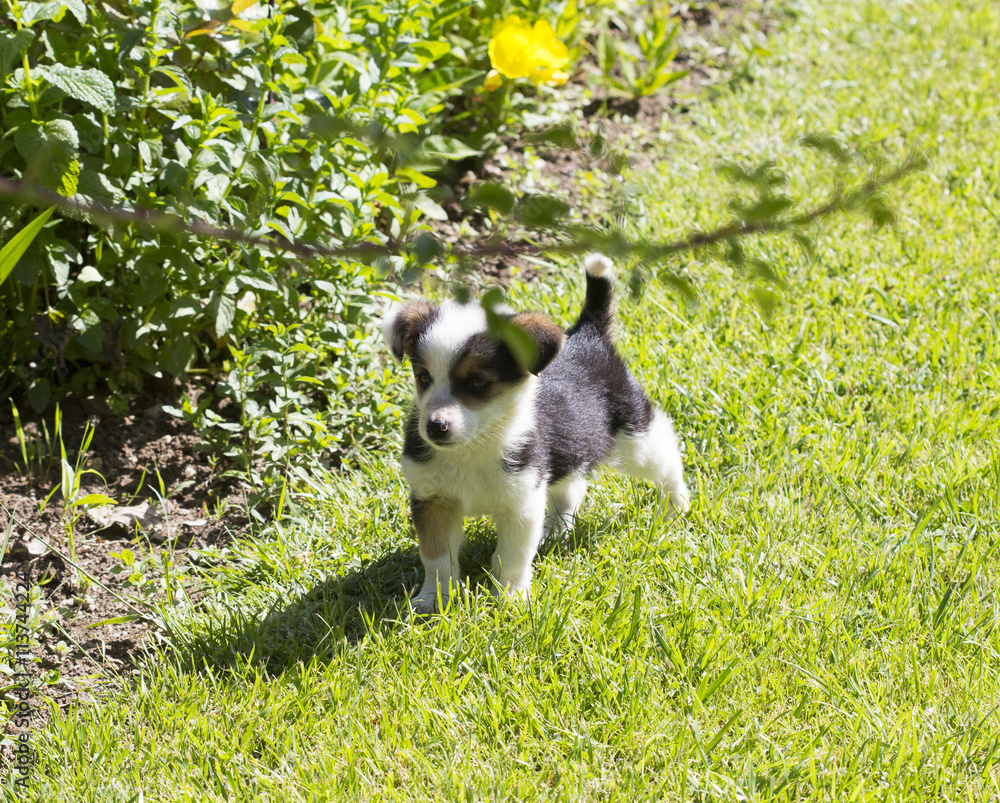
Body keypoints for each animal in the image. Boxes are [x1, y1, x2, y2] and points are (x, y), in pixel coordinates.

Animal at [382, 258, 688, 616]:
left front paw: (510, 599)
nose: (434, 428)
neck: (476, 446)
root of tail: (588, 334)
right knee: (571, 488)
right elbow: (437, 560)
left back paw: (676, 506)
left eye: (477, 383)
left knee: (667, 458)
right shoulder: (433, 500)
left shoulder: (521, 504)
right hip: (573, 447)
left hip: (634, 435)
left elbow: (510, 558)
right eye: (423, 377)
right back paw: (554, 531)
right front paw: (434, 600)